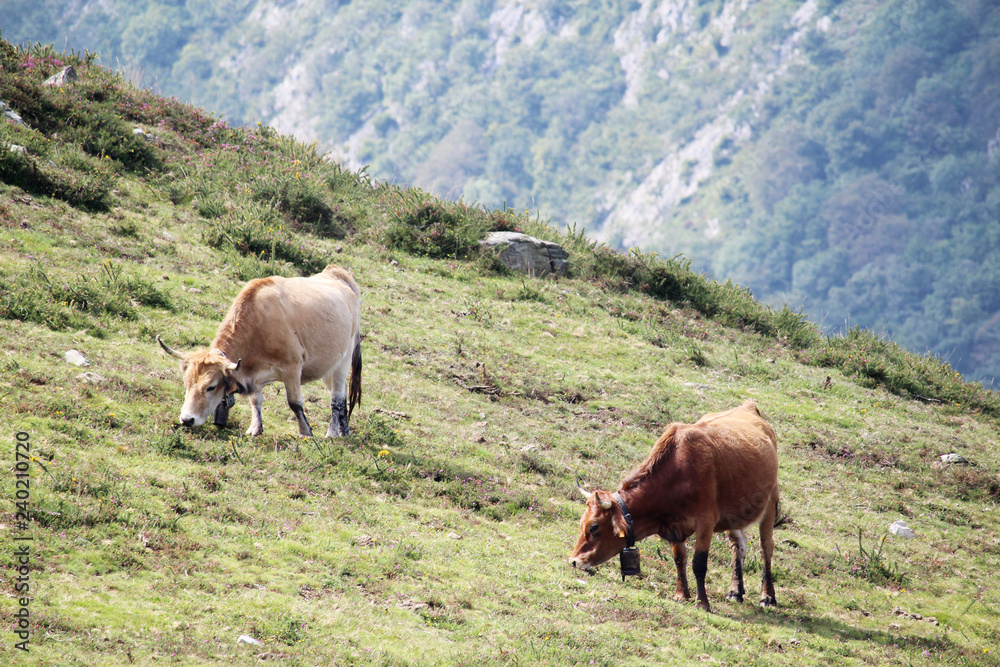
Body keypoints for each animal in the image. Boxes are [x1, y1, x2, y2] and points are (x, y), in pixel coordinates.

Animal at [158, 265, 362, 438]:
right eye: (187, 383)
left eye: (211, 386)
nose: (187, 419)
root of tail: (336, 273)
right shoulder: (251, 372)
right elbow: (256, 401)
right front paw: (255, 428)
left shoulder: (292, 367)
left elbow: (295, 402)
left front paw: (305, 432)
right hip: (327, 366)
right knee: (341, 392)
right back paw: (344, 430)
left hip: (343, 360)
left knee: (336, 396)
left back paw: (333, 433)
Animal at [569, 400, 779, 612]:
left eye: (593, 527)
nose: (574, 561)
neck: (678, 474)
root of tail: (748, 406)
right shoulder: (673, 525)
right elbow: (680, 558)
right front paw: (681, 594)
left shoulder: (706, 522)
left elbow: (699, 563)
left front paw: (702, 602)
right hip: (733, 515)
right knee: (738, 546)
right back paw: (736, 591)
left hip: (771, 502)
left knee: (766, 548)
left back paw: (768, 596)